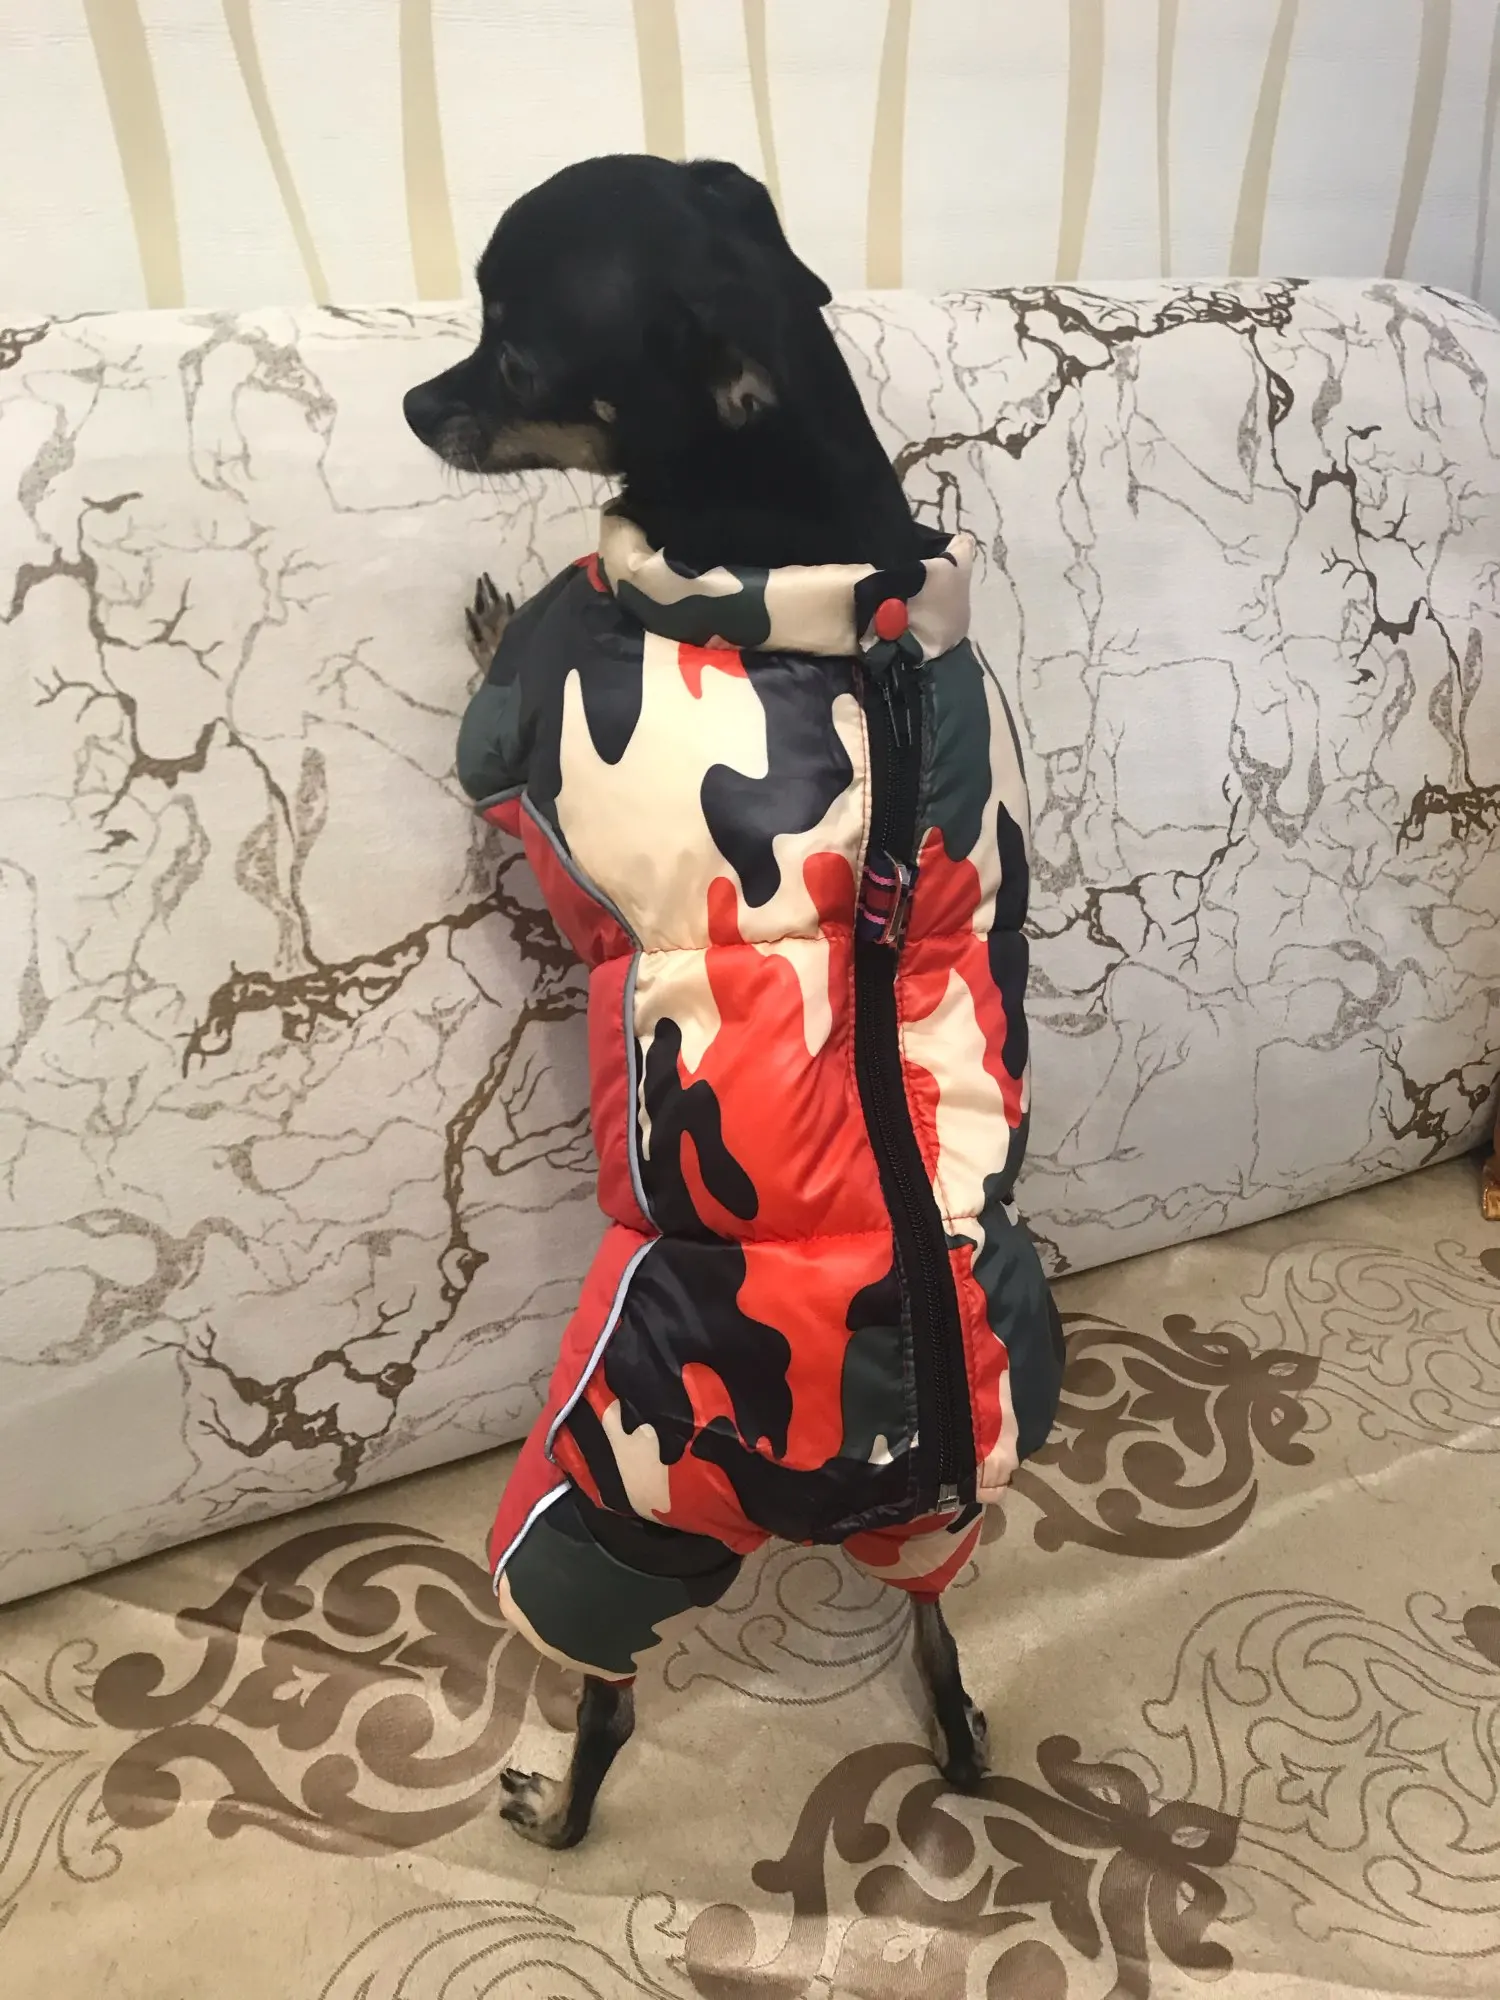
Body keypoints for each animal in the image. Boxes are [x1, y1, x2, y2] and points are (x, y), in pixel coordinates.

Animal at [404, 154, 1062, 1849]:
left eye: (515, 356)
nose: (420, 403)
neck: (841, 584)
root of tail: (885, 1472)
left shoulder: (517, 741)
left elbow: (500, 712)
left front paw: (494, 611)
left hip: (591, 1502)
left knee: (604, 1703)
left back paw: (547, 1799)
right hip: (956, 1510)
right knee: (946, 1657)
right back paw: (961, 1724)